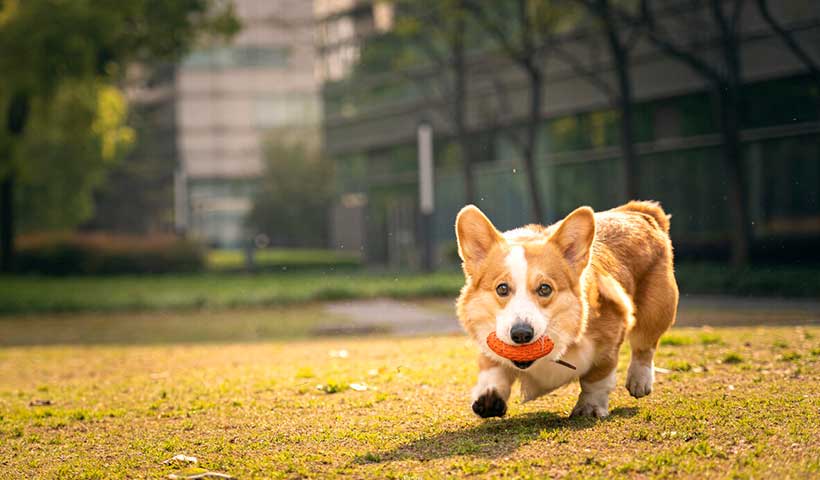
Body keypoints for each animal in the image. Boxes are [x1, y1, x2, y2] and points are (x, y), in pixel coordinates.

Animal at [454, 201, 680, 418]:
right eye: (502, 288)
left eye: (545, 288)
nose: (521, 334)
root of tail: (638, 212)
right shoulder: (489, 342)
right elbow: (492, 369)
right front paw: (489, 397)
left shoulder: (610, 337)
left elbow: (597, 378)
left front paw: (590, 408)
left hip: (656, 311)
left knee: (645, 345)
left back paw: (639, 380)